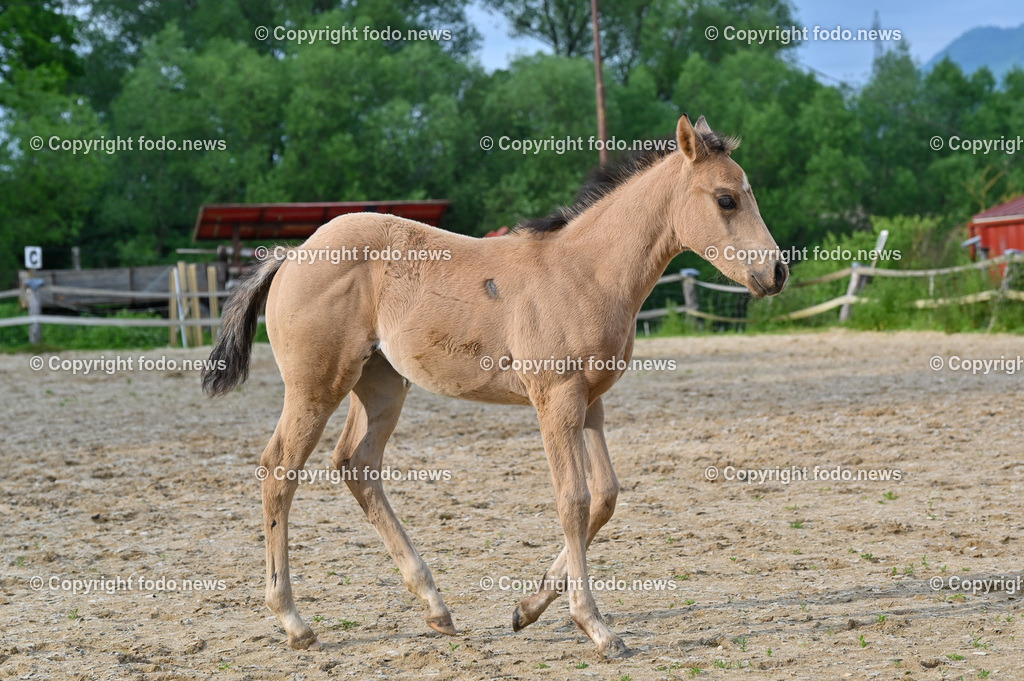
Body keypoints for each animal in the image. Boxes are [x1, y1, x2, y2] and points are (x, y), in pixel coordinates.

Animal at [202, 114, 789, 659]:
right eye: (726, 199)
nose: (777, 272)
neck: (587, 271)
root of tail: (292, 254)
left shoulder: (592, 402)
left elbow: (605, 496)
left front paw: (527, 608)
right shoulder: (556, 400)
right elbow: (573, 500)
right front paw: (597, 628)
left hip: (381, 385)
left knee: (356, 463)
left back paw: (434, 606)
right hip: (317, 386)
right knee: (278, 470)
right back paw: (293, 621)